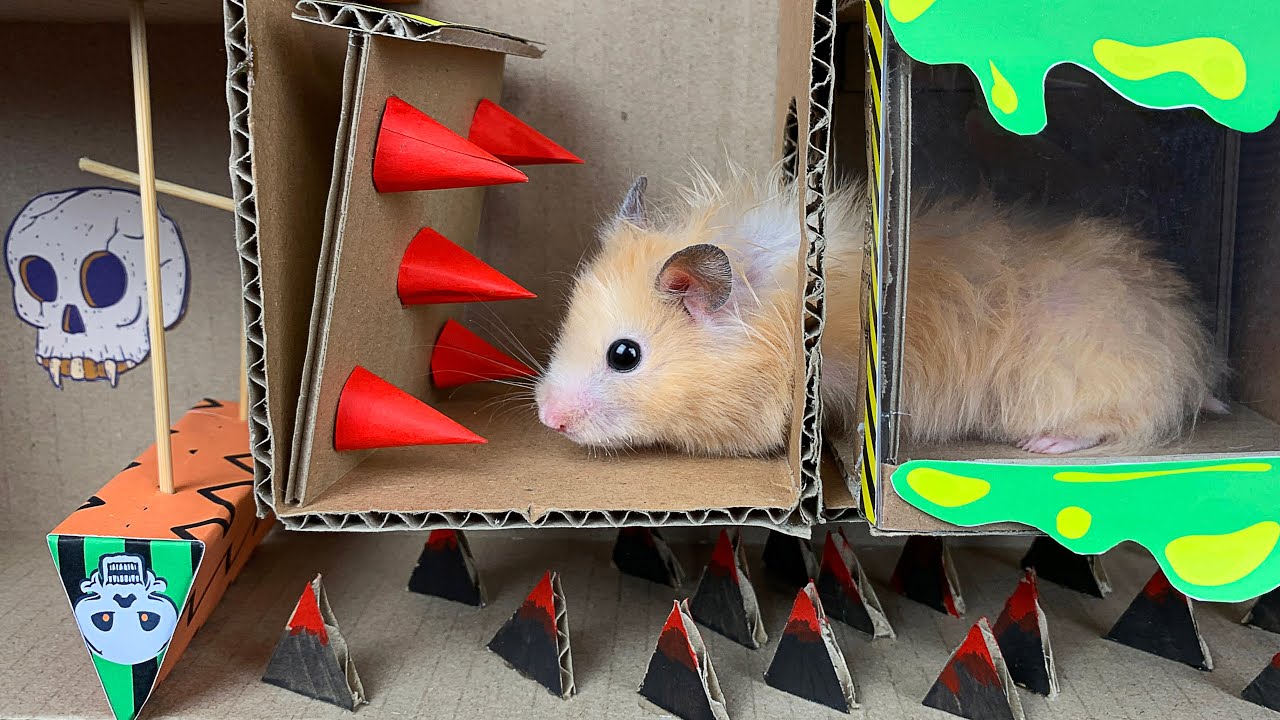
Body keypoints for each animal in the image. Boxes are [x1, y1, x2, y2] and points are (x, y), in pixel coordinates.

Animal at [535, 164, 1224, 456]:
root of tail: (1192, 359)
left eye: (625, 356)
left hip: (1075, 386)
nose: (546, 419)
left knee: (1118, 423)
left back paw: (1043, 445)